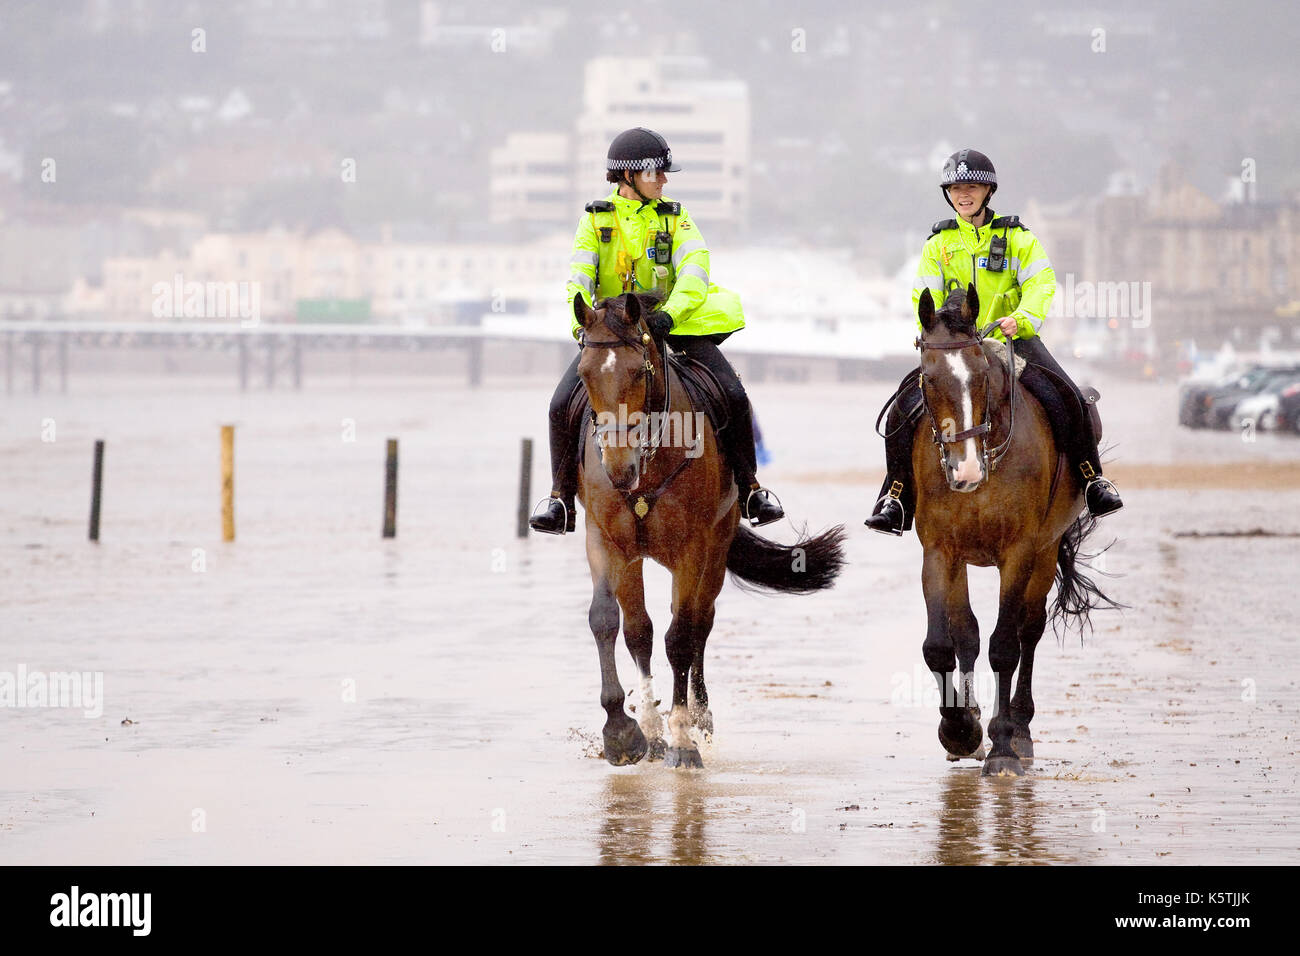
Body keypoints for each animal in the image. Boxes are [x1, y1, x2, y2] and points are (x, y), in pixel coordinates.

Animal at [574, 290, 847, 770]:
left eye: (638, 371)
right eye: (584, 374)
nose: (619, 470)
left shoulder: (693, 550)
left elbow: (682, 637)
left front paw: (683, 739)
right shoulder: (607, 542)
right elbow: (612, 622)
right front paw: (624, 732)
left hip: (715, 554)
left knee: (700, 624)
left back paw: (700, 719)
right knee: (644, 631)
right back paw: (652, 731)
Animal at [909, 282, 1123, 780]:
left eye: (980, 377)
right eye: (928, 379)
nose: (966, 470)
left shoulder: (1020, 552)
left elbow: (1005, 646)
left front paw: (1003, 745)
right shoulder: (939, 551)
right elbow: (941, 644)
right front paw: (960, 729)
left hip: (1045, 552)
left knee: (1029, 631)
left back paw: (1018, 730)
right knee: (967, 632)